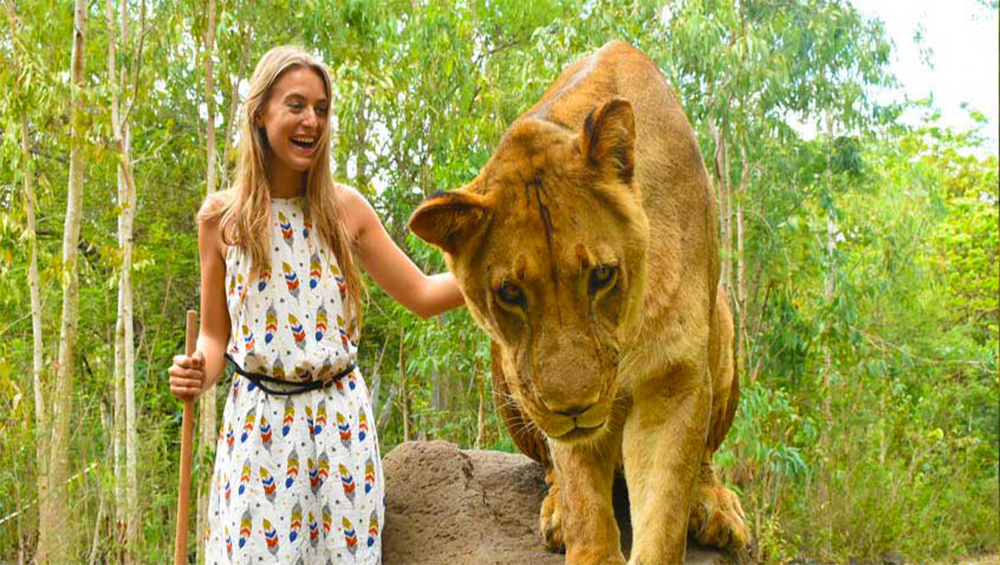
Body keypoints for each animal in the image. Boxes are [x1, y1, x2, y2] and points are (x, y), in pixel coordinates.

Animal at [408, 41, 749, 564]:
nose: (574, 409)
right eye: (510, 293)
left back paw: (716, 507)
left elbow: (666, 507)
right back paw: (554, 513)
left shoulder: (674, 376)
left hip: (724, 323)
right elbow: (584, 499)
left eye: (601, 276)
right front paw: (578, 528)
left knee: (705, 456)